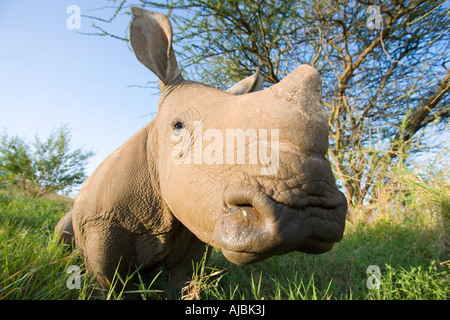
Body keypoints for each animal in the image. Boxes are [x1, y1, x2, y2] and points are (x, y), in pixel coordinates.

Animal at [55, 6, 348, 298]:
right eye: (178, 126)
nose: (309, 208)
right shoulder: (100, 224)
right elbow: (109, 283)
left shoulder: (197, 224)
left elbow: (181, 282)